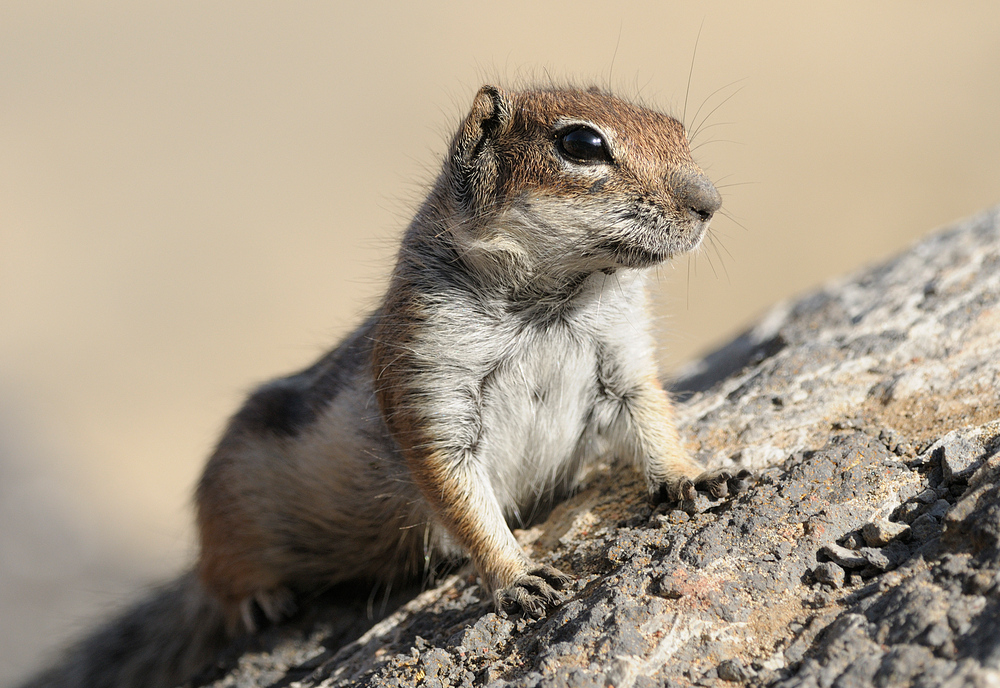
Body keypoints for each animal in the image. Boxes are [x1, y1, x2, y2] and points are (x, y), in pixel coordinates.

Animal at [23, 84, 748, 688]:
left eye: (678, 129)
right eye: (581, 144)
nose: (711, 202)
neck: (552, 302)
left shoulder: (622, 364)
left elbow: (651, 419)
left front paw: (693, 475)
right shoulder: (430, 384)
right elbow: (462, 500)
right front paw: (518, 577)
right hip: (229, 508)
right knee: (217, 578)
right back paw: (259, 596)